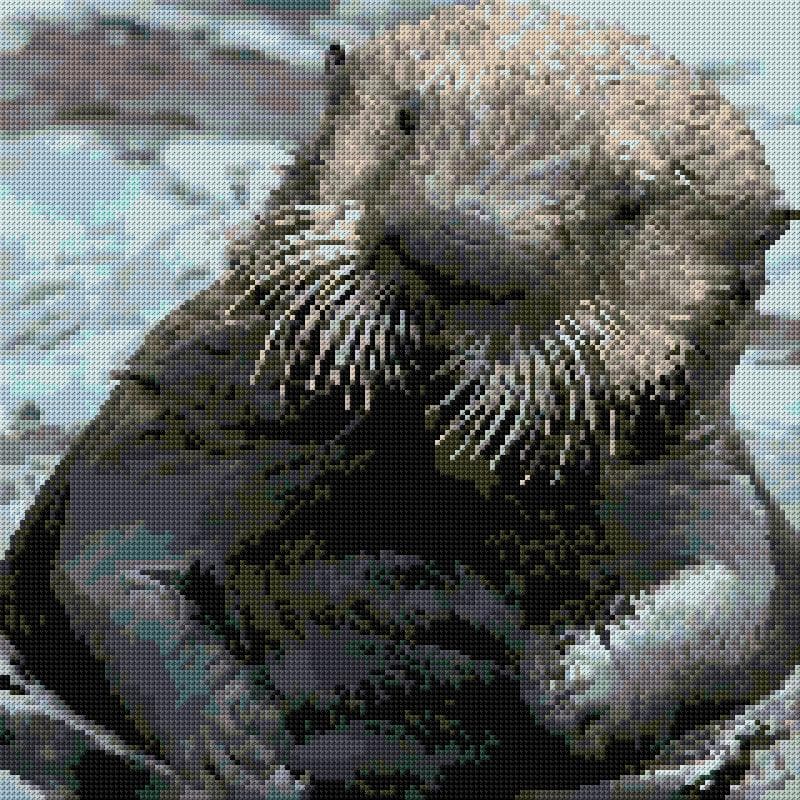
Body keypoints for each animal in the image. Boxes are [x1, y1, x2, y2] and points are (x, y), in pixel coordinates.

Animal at [0, 2, 794, 798]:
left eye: (630, 205)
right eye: (407, 117)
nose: (452, 243)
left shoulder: (699, 478)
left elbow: (749, 596)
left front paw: (581, 681)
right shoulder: (188, 415)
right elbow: (101, 561)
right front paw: (241, 745)